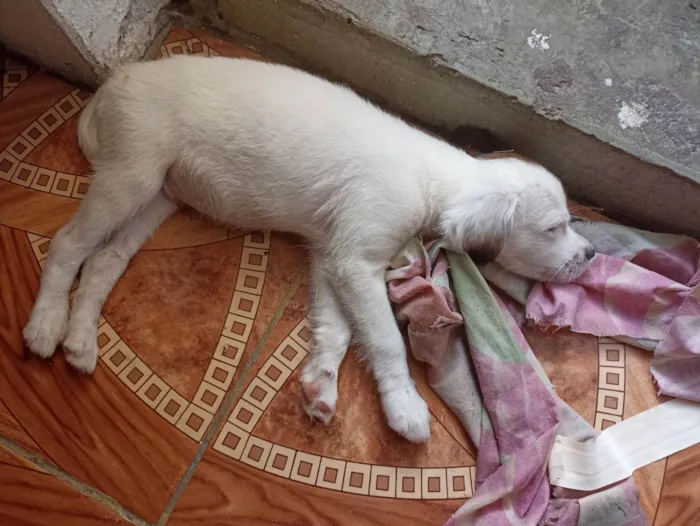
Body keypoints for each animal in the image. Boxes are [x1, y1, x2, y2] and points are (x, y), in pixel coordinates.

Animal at [23, 55, 592, 446]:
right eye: (554, 227)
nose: (588, 255)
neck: (433, 180)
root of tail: (116, 80)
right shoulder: (355, 261)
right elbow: (384, 338)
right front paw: (404, 405)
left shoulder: (330, 253)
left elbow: (338, 329)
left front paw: (321, 383)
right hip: (130, 176)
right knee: (69, 244)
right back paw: (47, 324)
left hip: (156, 196)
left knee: (103, 261)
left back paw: (80, 341)